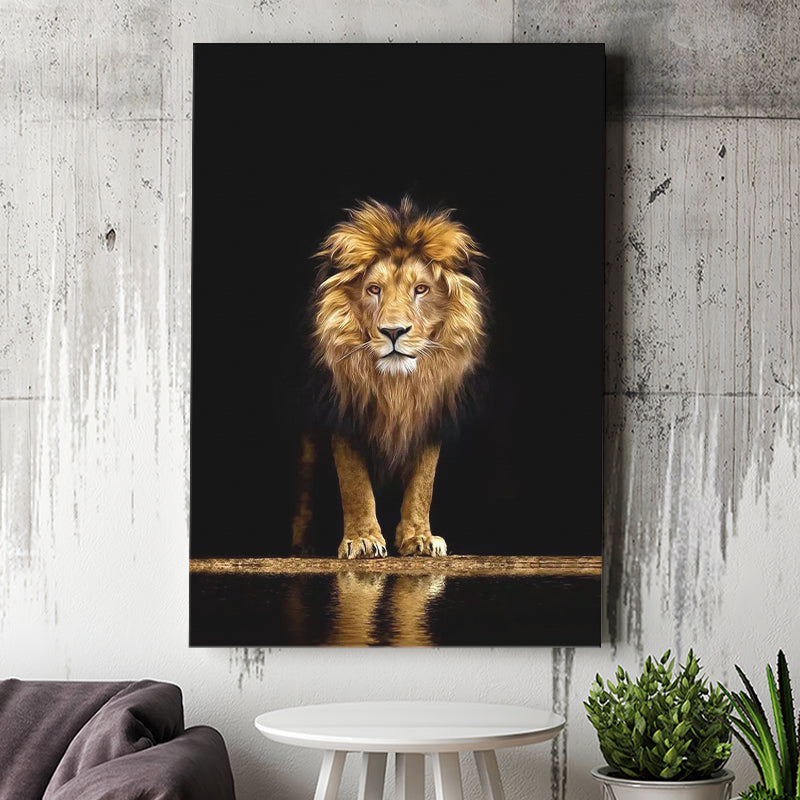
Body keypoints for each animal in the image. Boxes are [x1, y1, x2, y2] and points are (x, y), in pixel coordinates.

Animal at [291, 197, 488, 560]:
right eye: (373, 289)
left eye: (421, 289)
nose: (394, 331)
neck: (396, 385)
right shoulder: (344, 412)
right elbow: (354, 483)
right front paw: (363, 539)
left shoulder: (429, 412)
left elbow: (424, 483)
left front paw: (420, 537)